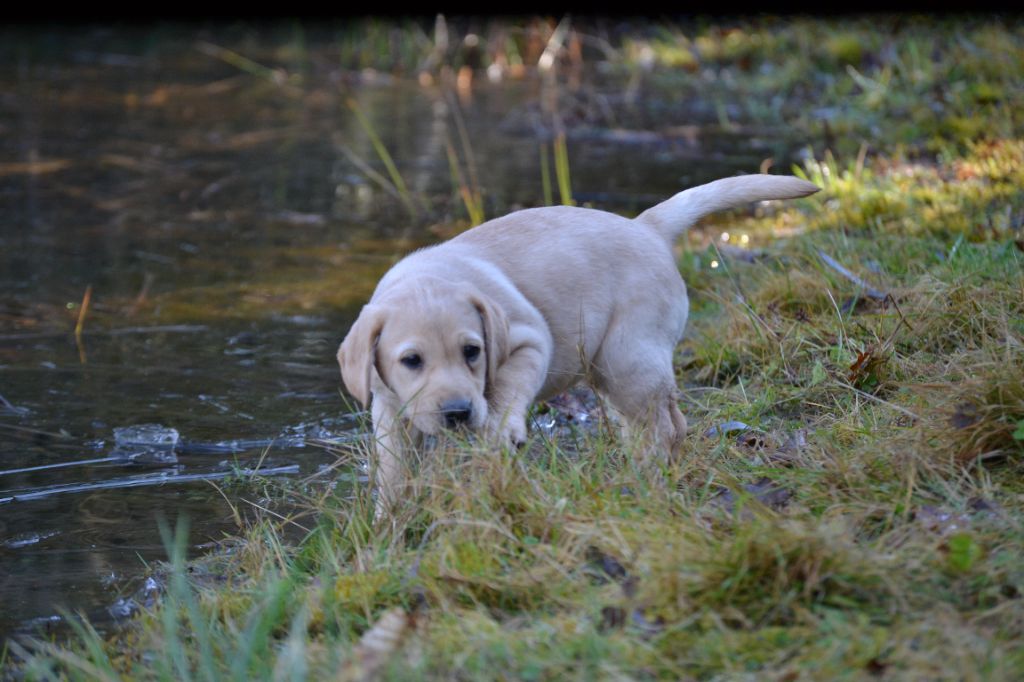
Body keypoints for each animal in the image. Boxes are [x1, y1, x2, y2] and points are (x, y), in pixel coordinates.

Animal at [339, 174, 819, 509]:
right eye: (411, 360)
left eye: (472, 352)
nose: (458, 412)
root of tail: (646, 227)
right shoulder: (388, 405)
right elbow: (394, 471)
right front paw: (390, 525)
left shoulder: (530, 340)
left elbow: (507, 389)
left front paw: (503, 429)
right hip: (615, 373)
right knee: (658, 422)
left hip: (627, 358)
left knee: (664, 426)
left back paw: (649, 479)